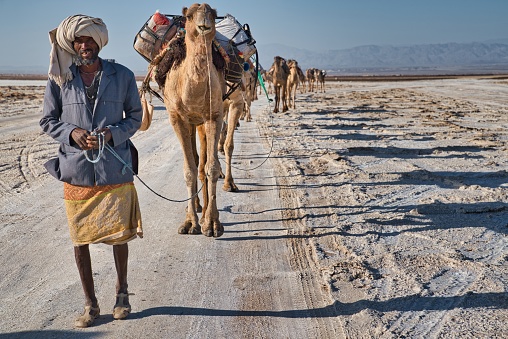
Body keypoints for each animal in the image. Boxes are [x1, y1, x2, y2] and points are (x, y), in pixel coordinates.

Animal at [163, 2, 224, 238]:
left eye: (214, 14)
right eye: (188, 15)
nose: (204, 21)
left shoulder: (214, 116)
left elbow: (212, 167)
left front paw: (212, 223)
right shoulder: (177, 118)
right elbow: (188, 170)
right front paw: (190, 223)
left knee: (204, 162)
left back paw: (204, 209)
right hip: (190, 123)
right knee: (196, 161)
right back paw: (196, 206)